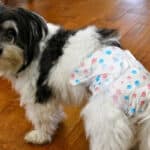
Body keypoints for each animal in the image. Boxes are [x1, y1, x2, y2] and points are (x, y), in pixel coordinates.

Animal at [0, 4, 150, 150]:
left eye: (10, 34)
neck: (33, 45)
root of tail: (141, 93)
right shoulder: (50, 94)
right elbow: (53, 112)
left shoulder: (38, 95)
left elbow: (42, 119)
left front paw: (40, 136)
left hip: (104, 121)